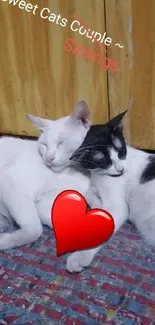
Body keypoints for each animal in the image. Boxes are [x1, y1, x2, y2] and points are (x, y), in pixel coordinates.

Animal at [0, 100, 91, 248]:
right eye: (44, 145)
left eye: (61, 142)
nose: (49, 158)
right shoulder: (12, 180)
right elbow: (34, 229)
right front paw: (5, 241)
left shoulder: (48, 202)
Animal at [66, 110, 155, 272]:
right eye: (104, 161)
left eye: (121, 151)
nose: (120, 169)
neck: (100, 175)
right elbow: (89, 193)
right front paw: (96, 206)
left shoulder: (118, 206)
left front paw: (80, 256)